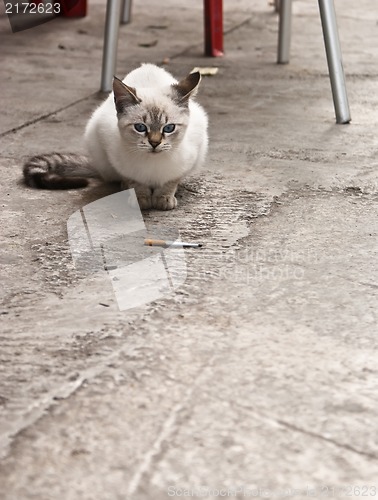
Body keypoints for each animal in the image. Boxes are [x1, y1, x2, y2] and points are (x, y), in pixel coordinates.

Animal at [22, 63, 210, 211]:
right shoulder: (113, 152)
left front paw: (163, 197)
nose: (155, 143)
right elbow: (134, 181)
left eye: (169, 128)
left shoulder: (191, 153)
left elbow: (171, 181)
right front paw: (140, 198)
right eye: (140, 127)